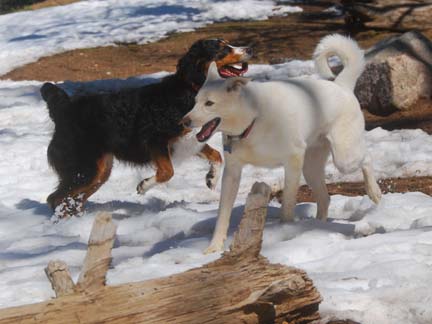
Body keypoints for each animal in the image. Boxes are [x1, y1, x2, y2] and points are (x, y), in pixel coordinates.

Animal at [41, 39, 251, 219]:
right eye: (222, 48)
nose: (250, 49)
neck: (190, 91)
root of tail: (64, 108)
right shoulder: (155, 139)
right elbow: (167, 172)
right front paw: (144, 185)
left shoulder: (188, 139)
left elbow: (216, 155)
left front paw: (212, 179)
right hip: (85, 169)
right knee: (55, 198)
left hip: (99, 171)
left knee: (72, 199)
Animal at [182, 34, 382, 253]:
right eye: (195, 101)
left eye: (209, 103)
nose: (184, 121)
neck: (253, 117)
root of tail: (341, 85)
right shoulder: (232, 173)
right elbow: (222, 215)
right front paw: (214, 247)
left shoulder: (293, 161)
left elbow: (287, 204)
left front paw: (284, 229)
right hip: (311, 168)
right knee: (325, 198)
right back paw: (317, 227)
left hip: (344, 157)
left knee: (367, 158)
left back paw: (374, 192)